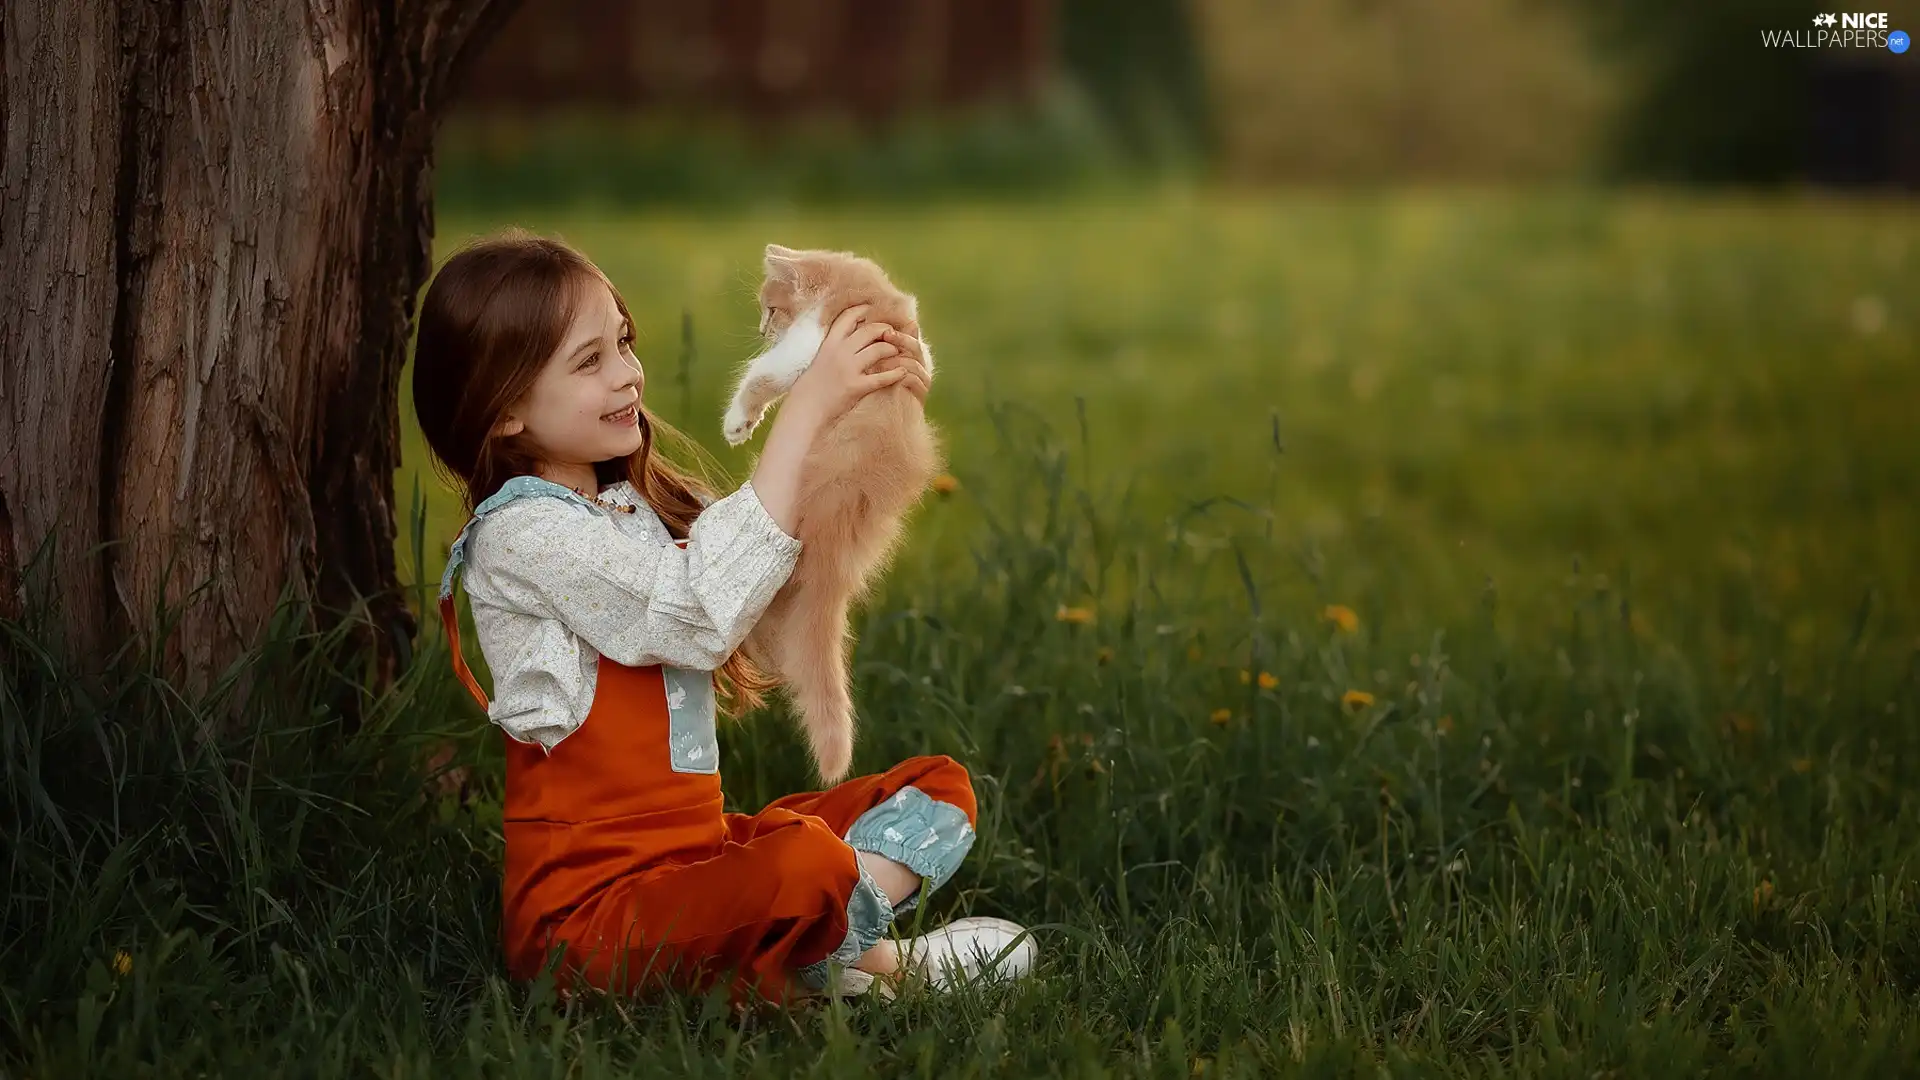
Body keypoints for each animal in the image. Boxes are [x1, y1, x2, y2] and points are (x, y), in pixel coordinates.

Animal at [721, 244, 944, 776]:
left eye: (771, 308)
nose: (763, 329)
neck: (858, 288)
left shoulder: (811, 342)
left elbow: (763, 373)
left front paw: (737, 421)